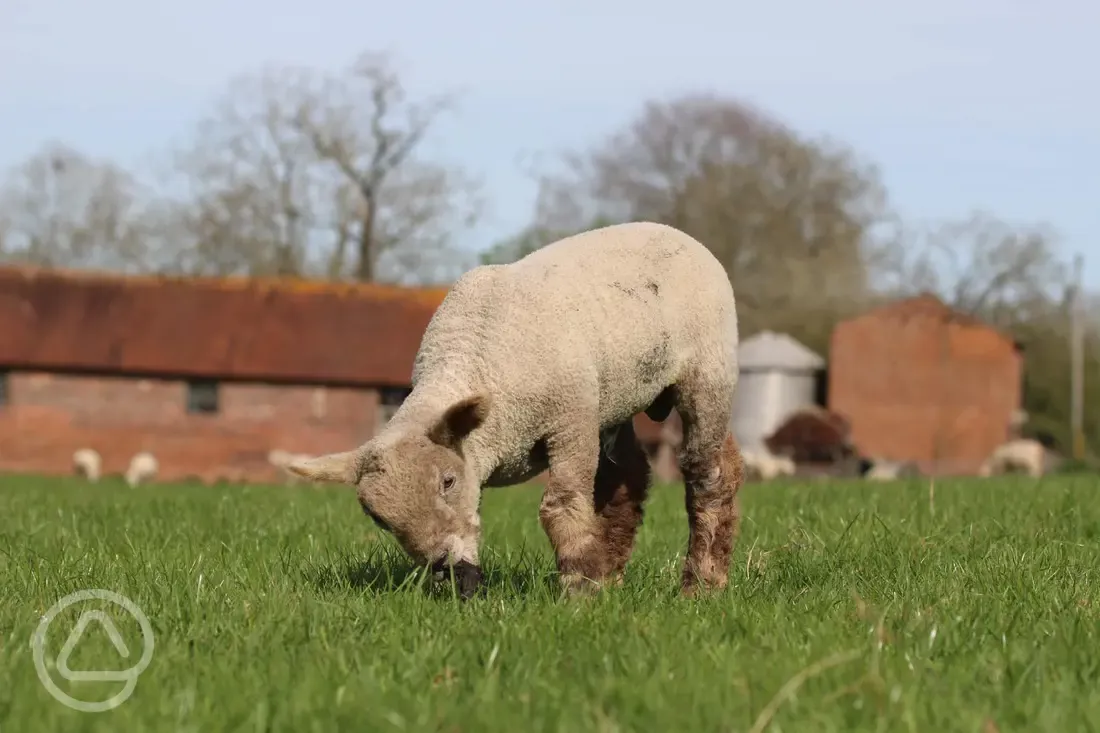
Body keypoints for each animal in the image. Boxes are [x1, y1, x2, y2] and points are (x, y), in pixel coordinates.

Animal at [288, 220, 743, 598]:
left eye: (448, 481)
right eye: (377, 518)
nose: (451, 573)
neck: (472, 359)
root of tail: (676, 232)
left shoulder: (570, 419)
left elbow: (562, 505)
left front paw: (580, 591)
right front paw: (590, 580)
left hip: (707, 370)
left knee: (708, 474)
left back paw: (702, 585)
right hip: (616, 398)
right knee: (632, 476)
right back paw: (614, 576)